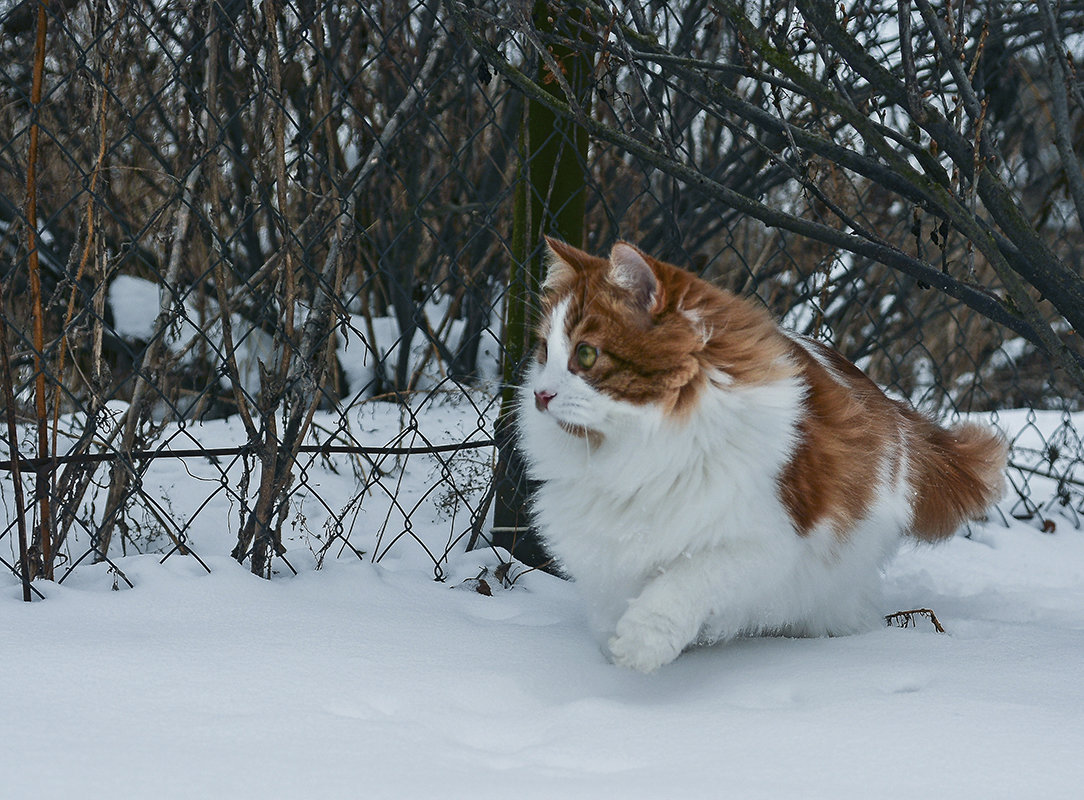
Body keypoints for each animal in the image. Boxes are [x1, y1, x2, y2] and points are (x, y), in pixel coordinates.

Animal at [515, 235, 1005, 667]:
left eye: (586, 355)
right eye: (543, 351)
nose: (541, 394)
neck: (637, 448)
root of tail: (889, 406)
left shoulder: (764, 538)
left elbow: (682, 584)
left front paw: (639, 644)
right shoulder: (606, 551)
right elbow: (608, 605)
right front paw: (610, 651)